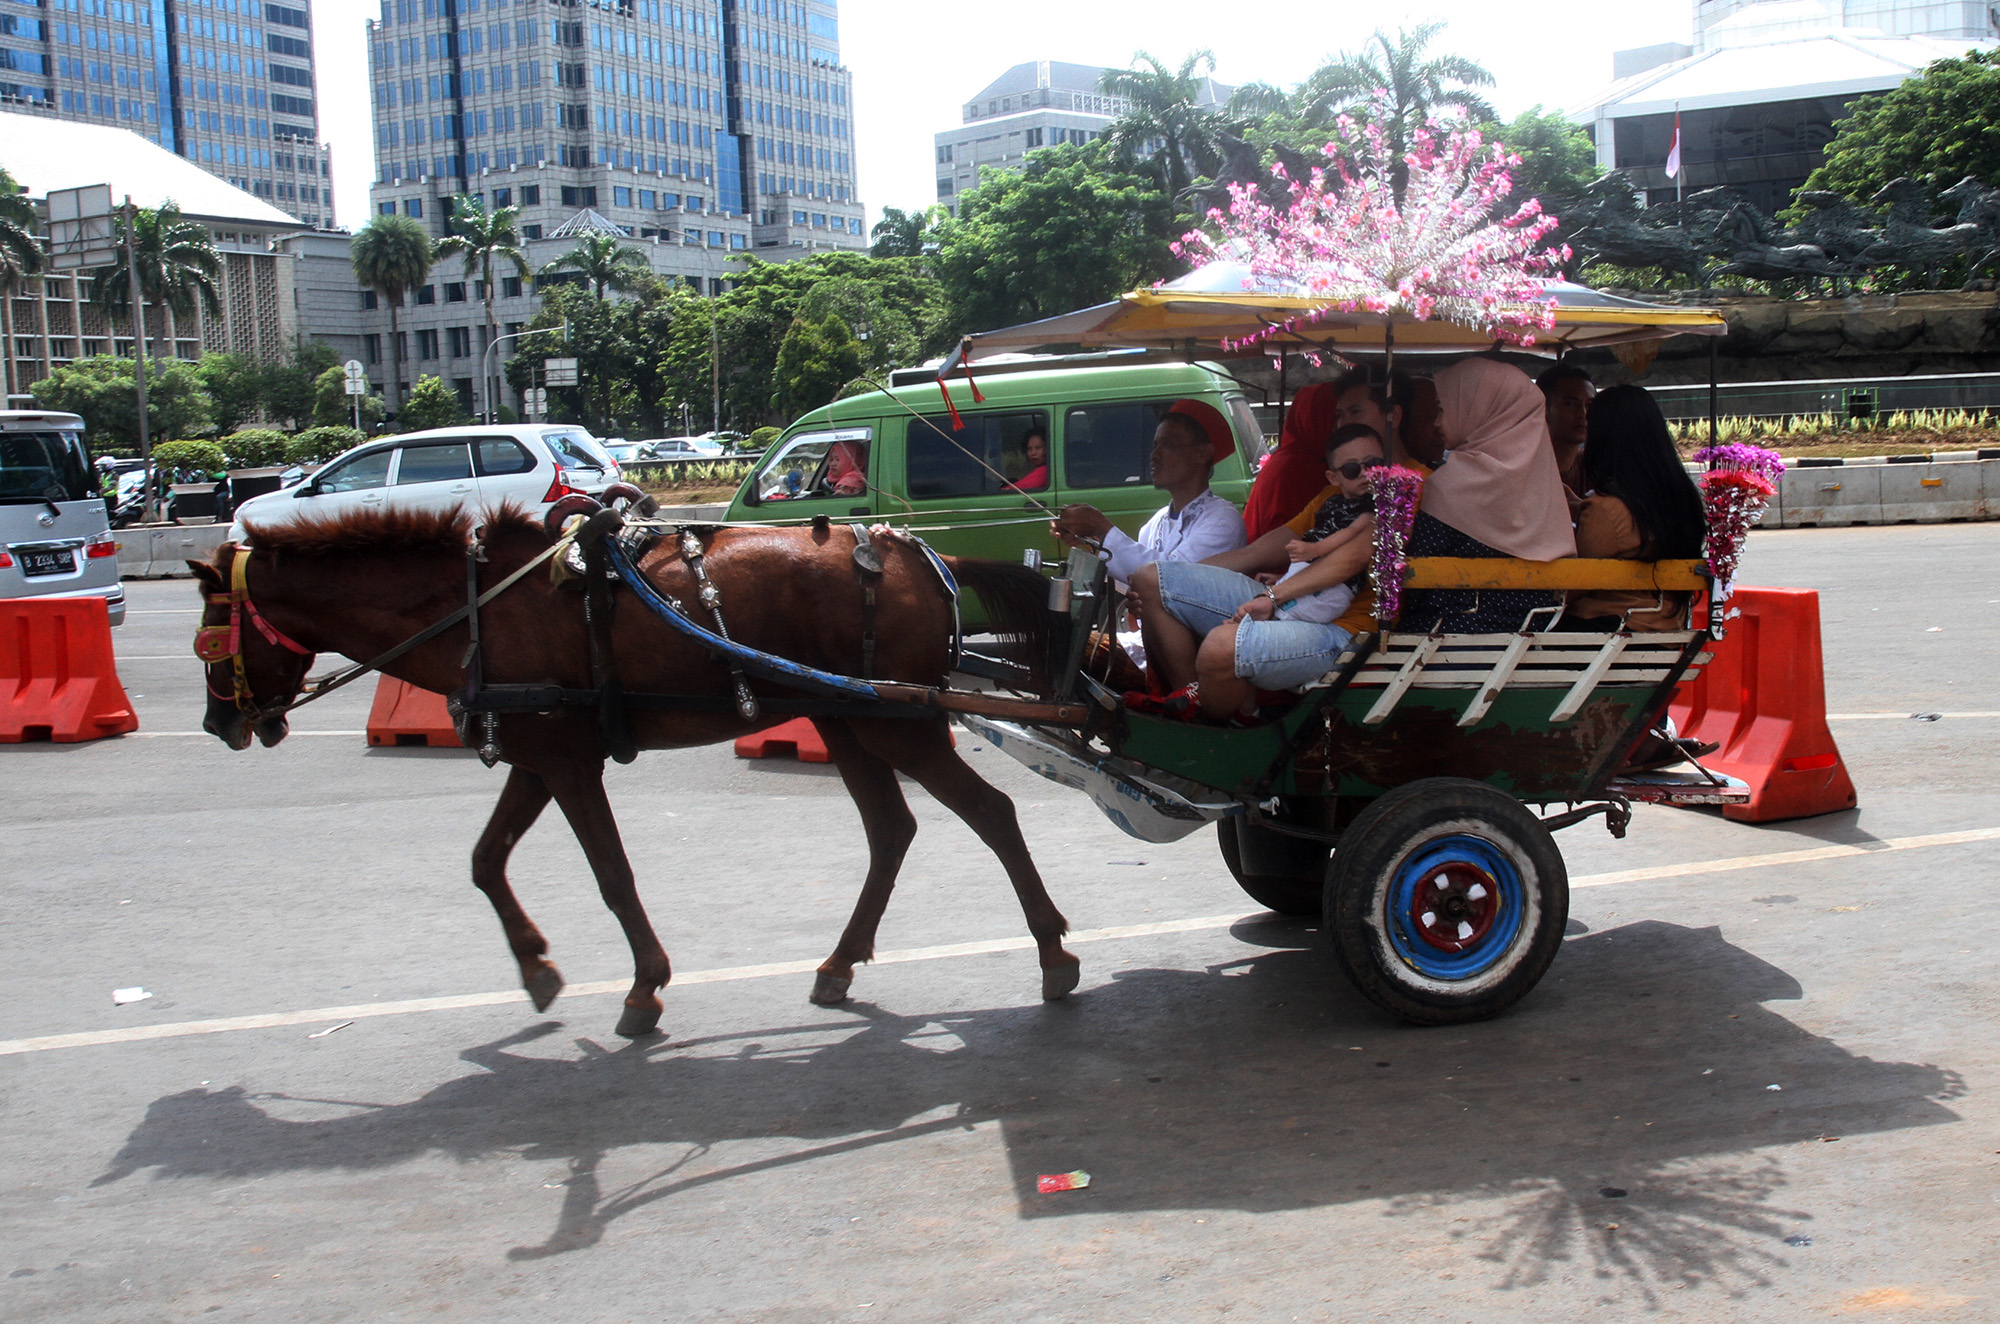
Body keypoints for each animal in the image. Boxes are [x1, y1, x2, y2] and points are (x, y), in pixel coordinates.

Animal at [191, 508, 1080, 1040]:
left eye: (211, 635)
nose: (221, 725)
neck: (478, 605)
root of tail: (923, 552)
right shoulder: (540, 757)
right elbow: (484, 861)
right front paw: (536, 968)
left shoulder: (566, 762)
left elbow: (612, 876)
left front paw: (644, 987)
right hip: (848, 720)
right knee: (893, 829)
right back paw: (837, 964)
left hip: (899, 724)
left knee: (993, 814)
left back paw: (1052, 952)